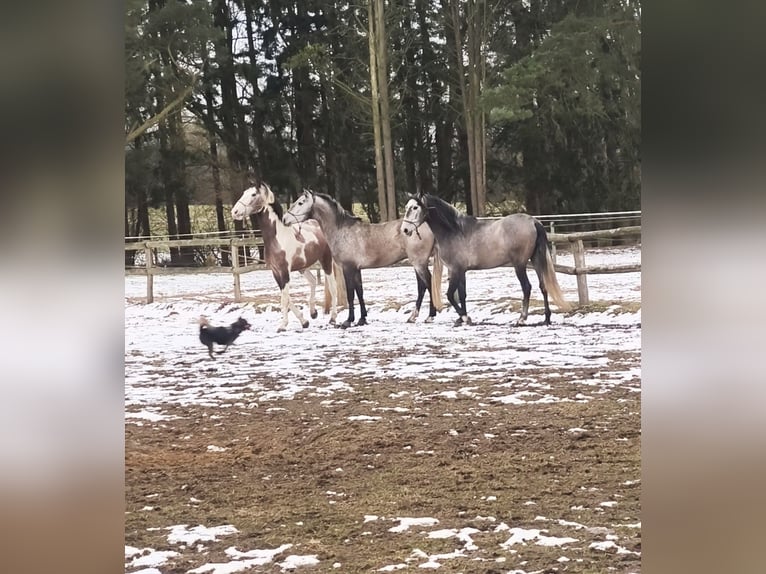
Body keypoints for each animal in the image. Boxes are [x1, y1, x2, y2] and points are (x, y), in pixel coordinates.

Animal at [231, 182, 342, 330]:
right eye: (244, 193)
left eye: (253, 194)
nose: (234, 212)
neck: (277, 238)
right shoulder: (276, 272)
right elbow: (286, 298)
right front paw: (304, 321)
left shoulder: (284, 271)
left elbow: (284, 299)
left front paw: (283, 325)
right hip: (303, 267)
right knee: (313, 281)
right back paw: (313, 313)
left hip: (326, 260)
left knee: (332, 287)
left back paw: (333, 318)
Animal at [284, 190, 448, 328]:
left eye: (300, 202)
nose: (285, 219)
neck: (342, 231)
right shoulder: (357, 270)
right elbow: (360, 292)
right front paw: (362, 319)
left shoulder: (348, 268)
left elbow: (351, 294)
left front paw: (348, 321)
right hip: (417, 263)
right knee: (422, 286)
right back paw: (413, 317)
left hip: (418, 263)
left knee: (427, 283)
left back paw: (429, 316)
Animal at [402, 195, 568, 326]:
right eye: (406, 207)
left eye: (415, 207)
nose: (405, 230)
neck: (454, 231)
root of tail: (533, 221)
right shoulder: (461, 271)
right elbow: (462, 294)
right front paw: (462, 318)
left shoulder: (456, 270)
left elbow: (450, 295)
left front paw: (465, 318)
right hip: (536, 260)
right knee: (543, 286)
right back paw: (546, 319)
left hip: (520, 265)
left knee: (527, 287)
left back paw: (521, 319)